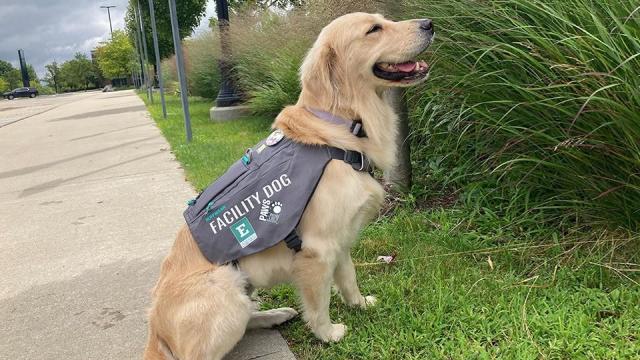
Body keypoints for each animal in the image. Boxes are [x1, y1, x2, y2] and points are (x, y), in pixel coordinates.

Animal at [144, 11, 432, 360]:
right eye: (373, 29)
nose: (429, 24)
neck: (341, 127)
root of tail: (155, 328)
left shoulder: (341, 240)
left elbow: (349, 279)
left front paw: (360, 304)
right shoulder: (317, 249)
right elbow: (319, 304)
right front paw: (329, 333)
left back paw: (275, 314)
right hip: (226, 288)